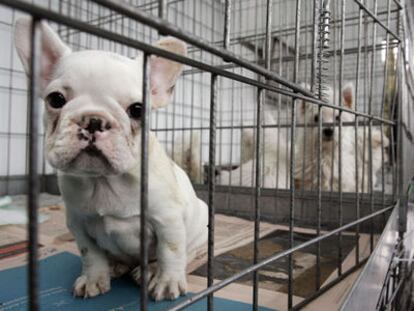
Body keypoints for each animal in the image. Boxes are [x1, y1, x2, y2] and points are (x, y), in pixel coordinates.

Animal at [14, 17, 209, 302]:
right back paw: (116, 265)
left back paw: (151, 270)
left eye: (138, 109)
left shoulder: (168, 221)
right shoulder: (78, 225)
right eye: (55, 99)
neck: (104, 180)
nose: (94, 120)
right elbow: (91, 254)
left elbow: (170, 252)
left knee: (187, 253)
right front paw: (94, 278)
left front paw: (167, 281)